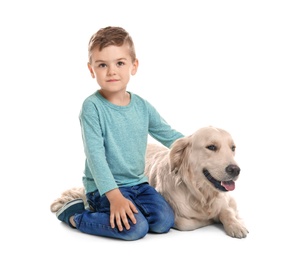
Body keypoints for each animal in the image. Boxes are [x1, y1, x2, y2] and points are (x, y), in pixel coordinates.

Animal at [51, 126, 248, 238]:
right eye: (211, 147)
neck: (199, 194)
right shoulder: (179, 218)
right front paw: (211, 220)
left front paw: (235, 224)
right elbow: (190, 223)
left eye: (233, 148)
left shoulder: (227, 199)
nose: (235, 170)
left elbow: (226, 210)